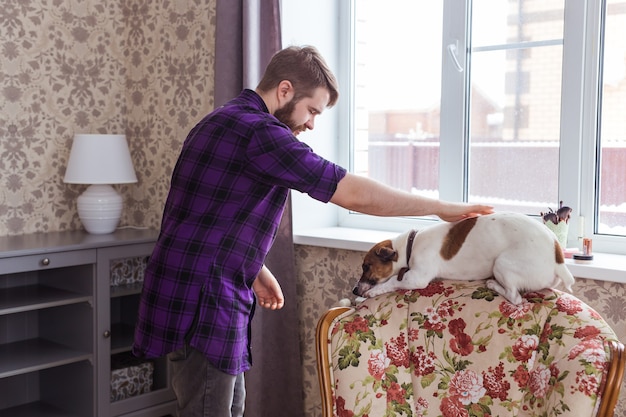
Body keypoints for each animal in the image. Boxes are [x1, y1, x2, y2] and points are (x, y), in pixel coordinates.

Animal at [352, 213, 572, 304]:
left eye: (366, 266)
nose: (354, 290)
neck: (410, 244)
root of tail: (557, 256)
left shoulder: (416, 278)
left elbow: (391, 282)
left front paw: (373, 291)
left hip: (501, 264)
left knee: (515, 297)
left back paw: (493, 285)